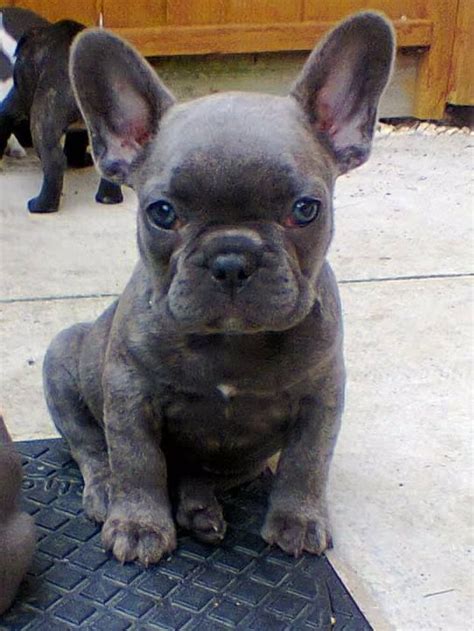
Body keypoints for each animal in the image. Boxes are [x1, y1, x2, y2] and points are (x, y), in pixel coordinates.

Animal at [43, 13, 392, 568]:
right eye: (162, 212)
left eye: (305, 209)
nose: (232, 258)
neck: (231, 341)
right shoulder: (128, 393)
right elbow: (137, 461)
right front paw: (139, 525)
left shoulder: (322, 395)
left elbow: (307, 461)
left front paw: (298, 519)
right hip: (62, 358)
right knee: (91, 447)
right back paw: (108, 492)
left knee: (196, 474)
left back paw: (198, 510)